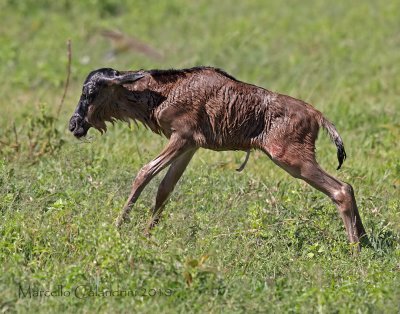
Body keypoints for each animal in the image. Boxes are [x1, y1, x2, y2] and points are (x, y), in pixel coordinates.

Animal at [69, 67, 366, 248]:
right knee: (348, 187)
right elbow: (165, 188)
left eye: (90, 92)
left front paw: (118, 226)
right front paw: (147, 234)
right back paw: (364, 241)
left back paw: (354, 250)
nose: (74, 125)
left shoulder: (181, 137)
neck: (163, 92)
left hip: (292, 159)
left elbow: (144, 172)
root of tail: (317, 114)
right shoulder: (189, 145)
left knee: (340, 190)